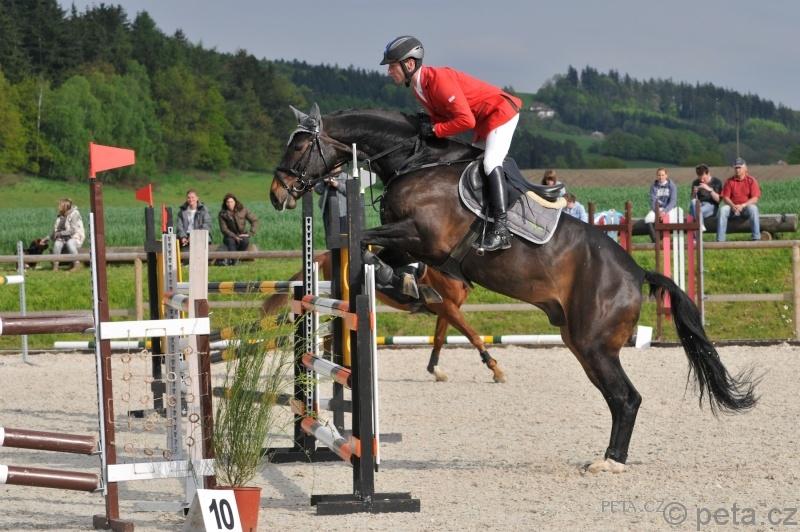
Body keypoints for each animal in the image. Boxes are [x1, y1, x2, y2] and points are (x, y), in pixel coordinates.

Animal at [261, 250, 506, 383]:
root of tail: (326, 254)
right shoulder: (448, 307)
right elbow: (473, 336)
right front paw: (495, 370)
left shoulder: (447, 308)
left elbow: (438, 339)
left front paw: (436, 370)